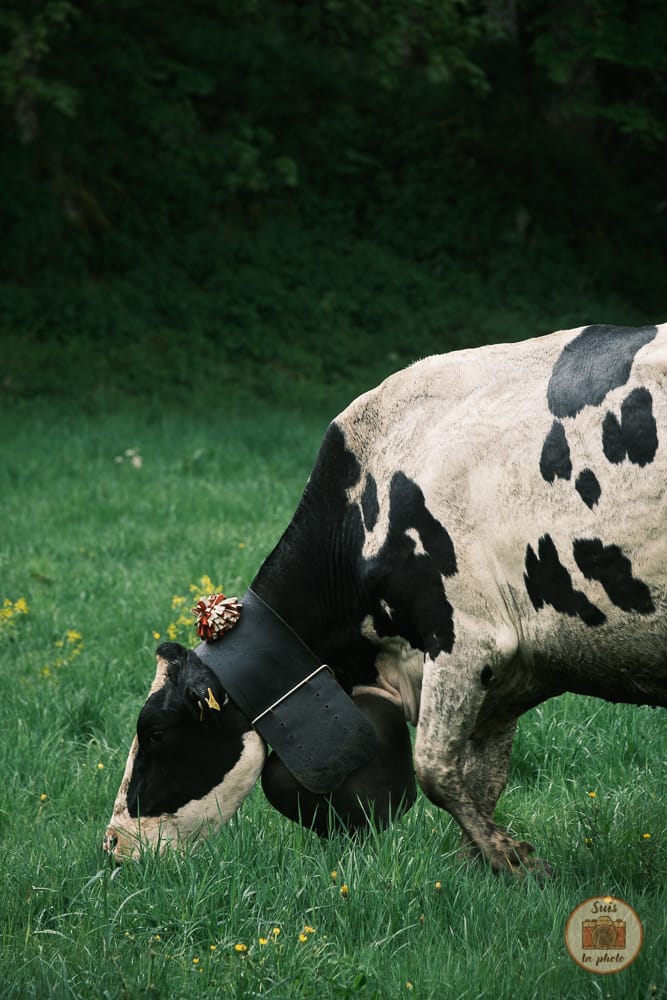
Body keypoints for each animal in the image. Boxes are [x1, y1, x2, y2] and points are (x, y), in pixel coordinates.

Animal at [104, 323, 667, 875]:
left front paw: (515, 860)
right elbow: (482, 777)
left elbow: (434, 768)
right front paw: (480, 870)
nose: (112, 845)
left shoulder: (466, 637)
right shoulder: (508, 677)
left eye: (154, 731)